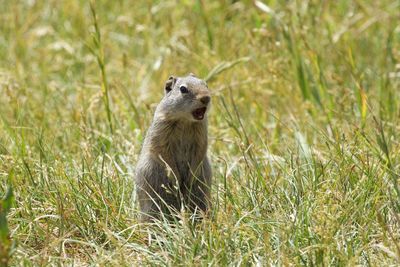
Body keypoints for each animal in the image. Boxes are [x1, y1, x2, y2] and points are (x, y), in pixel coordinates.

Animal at [135, 74, 212, 223]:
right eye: (183, 89)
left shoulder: (201, 134)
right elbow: (164, 155)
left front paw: (191, 178)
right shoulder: (162, 132)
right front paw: (176, 179)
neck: (185, 120)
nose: (206, 98)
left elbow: (201, 150)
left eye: (205, 84)